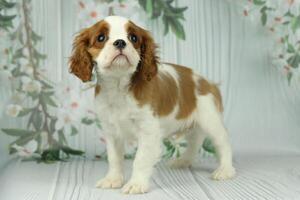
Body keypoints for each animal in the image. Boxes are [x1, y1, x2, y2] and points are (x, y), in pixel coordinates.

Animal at [69, 16, 236, 195]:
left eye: (133, 38)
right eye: (101, 38)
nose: (120, 42)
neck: (119, 86)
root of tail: (208, 82)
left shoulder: (148, 131)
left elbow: (140, 159)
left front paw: (136, 184)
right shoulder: (112, 131)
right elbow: (114, 158)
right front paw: (113, 179)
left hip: (210, 119)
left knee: (223, 143)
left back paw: (225, 170)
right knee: (195, 141)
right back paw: (183, 161)